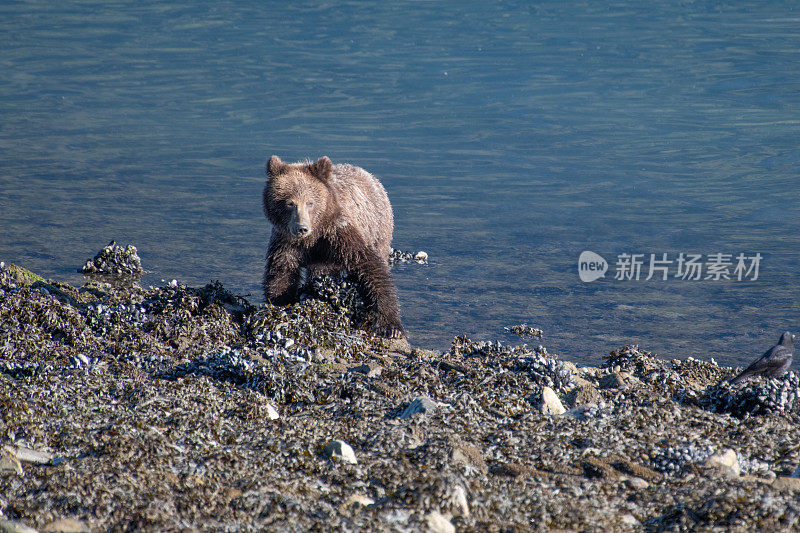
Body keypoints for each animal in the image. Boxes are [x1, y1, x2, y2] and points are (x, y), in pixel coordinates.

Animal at [260, 155, 404, 336]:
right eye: (289, 203)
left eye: (310, 202)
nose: (302, 228)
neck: (313, 236)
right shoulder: (285, 241)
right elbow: (281, 272)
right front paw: (280, 303)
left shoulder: (338, 233)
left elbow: (369, 266)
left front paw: (390, 326)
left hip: (379, 230)